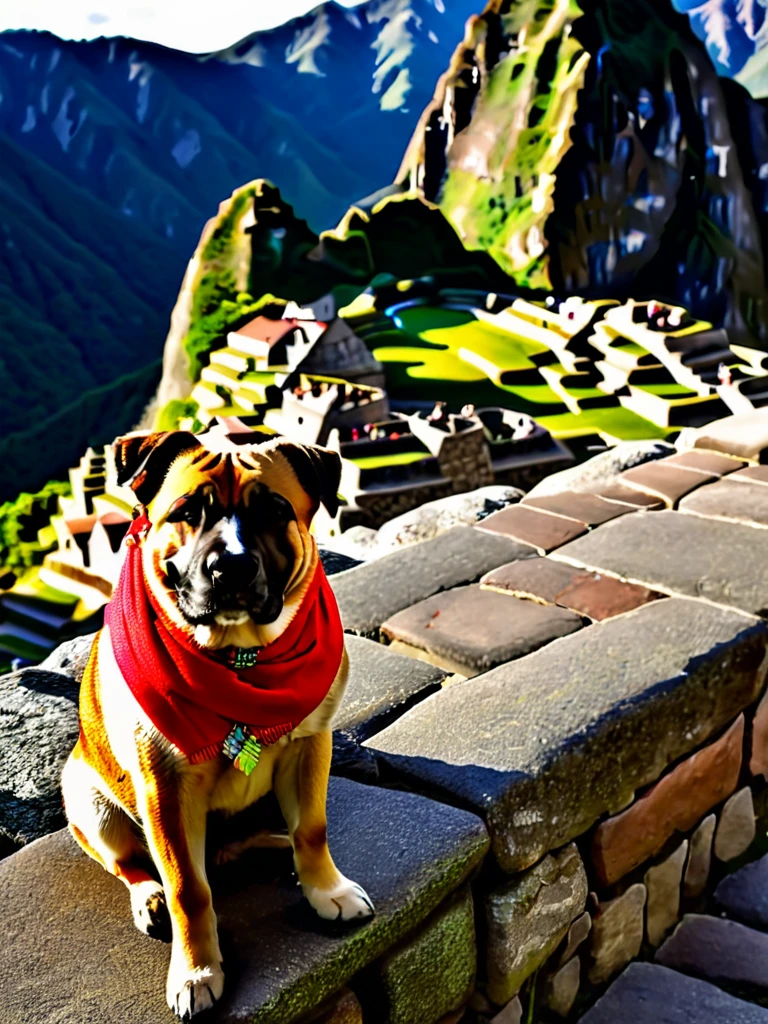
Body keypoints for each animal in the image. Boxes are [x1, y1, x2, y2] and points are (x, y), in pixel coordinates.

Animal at [61, 428, 374, 1019]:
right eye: (186, 512)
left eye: (274, 510)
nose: (230, 567)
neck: (239, 659)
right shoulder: (164, 790)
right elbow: (189, 888)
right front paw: (196, 970)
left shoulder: (310, 744)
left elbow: (313, 829)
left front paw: (326, 890)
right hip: (90, 803)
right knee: (131, 864)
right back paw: (150, 896)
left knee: (268, 834)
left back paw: (275, 845)